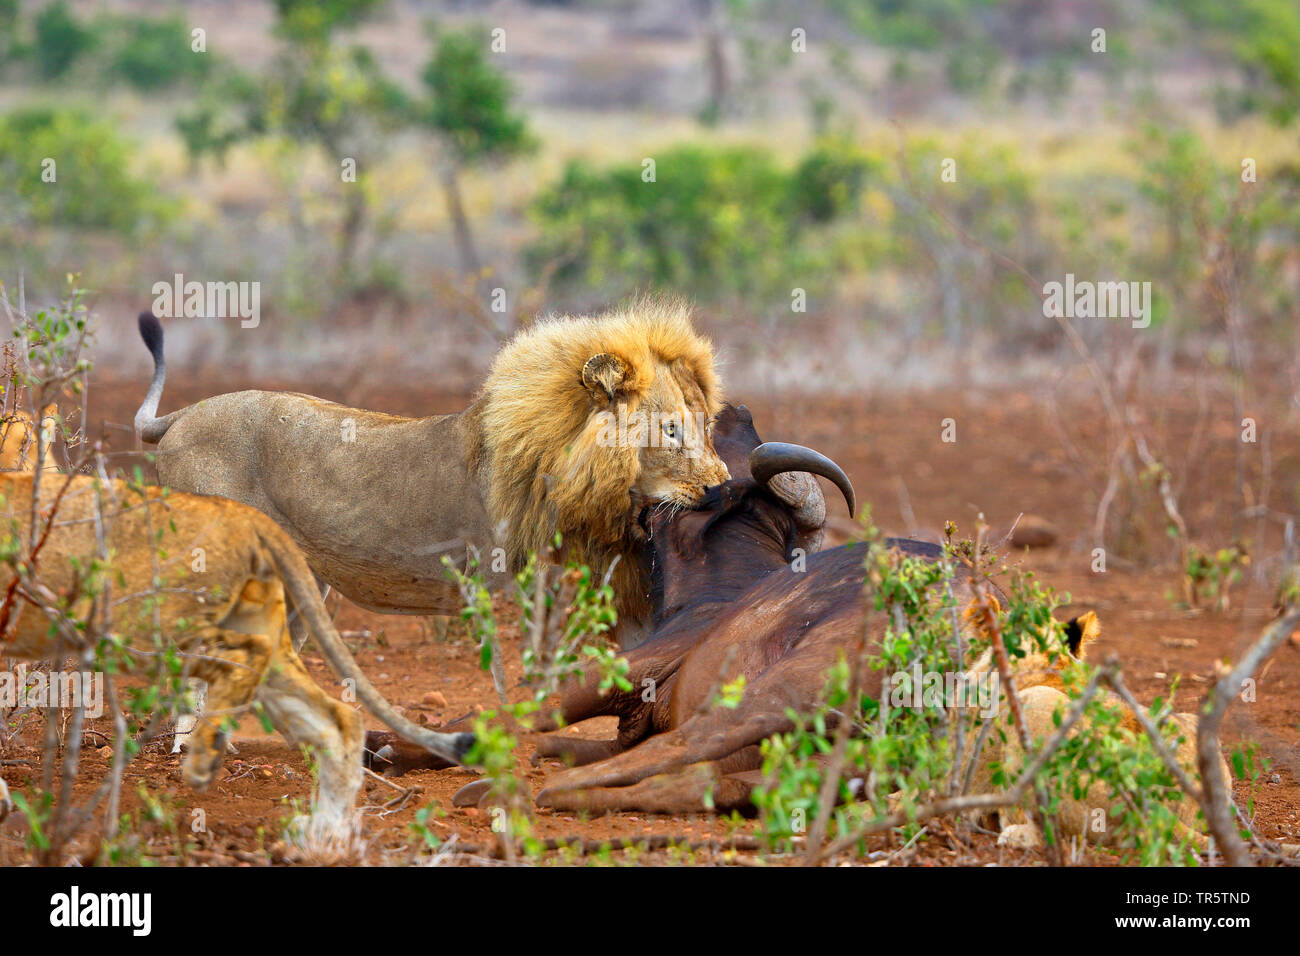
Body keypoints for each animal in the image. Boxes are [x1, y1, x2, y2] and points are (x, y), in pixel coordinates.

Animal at [0, 476, 475, 842]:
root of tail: (244, 514)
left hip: (144, 625)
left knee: (237, 665)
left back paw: (203, 756)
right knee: (339, 718)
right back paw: (324, 833)